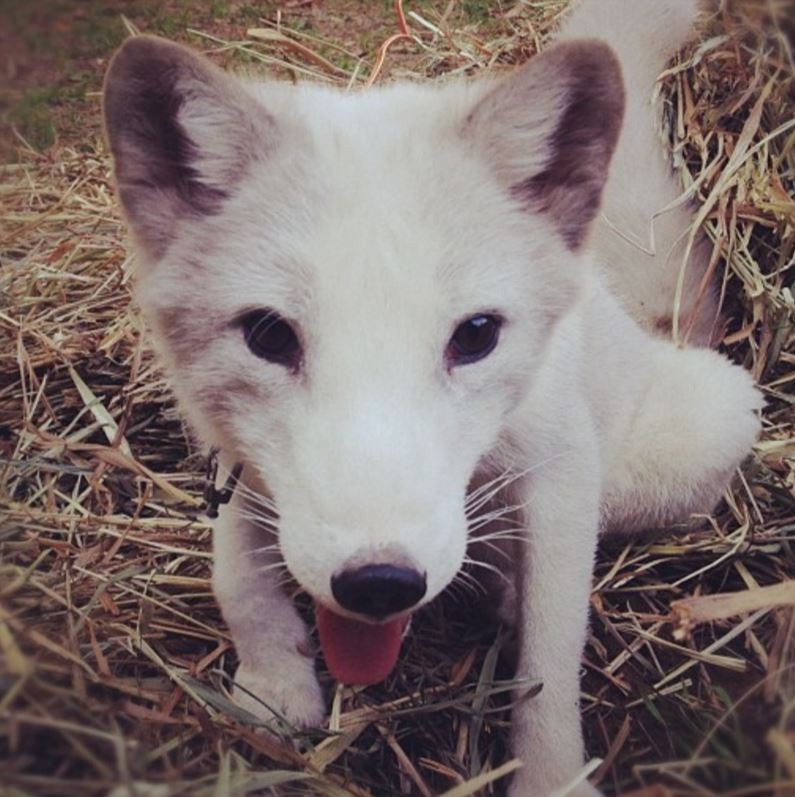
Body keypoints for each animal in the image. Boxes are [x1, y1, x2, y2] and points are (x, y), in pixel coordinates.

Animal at [102, 0, 762, 794]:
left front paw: (550, 776)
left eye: (475, 335)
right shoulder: (239, 462)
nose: (380, 584)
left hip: (698, 431)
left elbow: (552, 656)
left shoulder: (560, 469)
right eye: (267, 334)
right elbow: (235, 576)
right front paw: (273, 689)